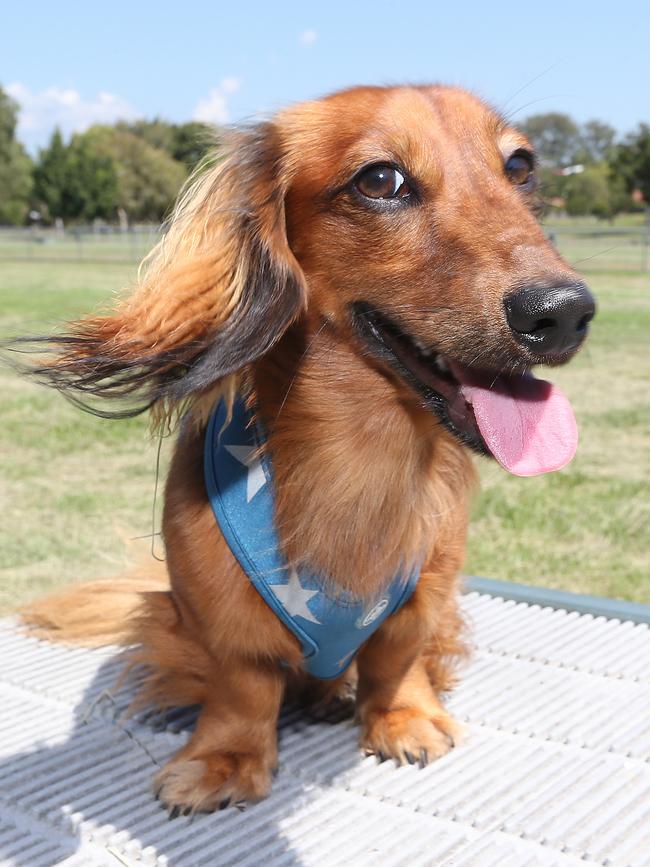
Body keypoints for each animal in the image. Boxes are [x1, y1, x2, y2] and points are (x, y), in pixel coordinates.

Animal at [17, 86, 592, 812]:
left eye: (520, 167)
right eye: (380, 180)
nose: (565, 313)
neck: (360, 452)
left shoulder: (425, 590)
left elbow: (397, 660)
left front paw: (402, 715)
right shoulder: (220, 610)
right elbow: (243, 683)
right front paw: (226, 756)